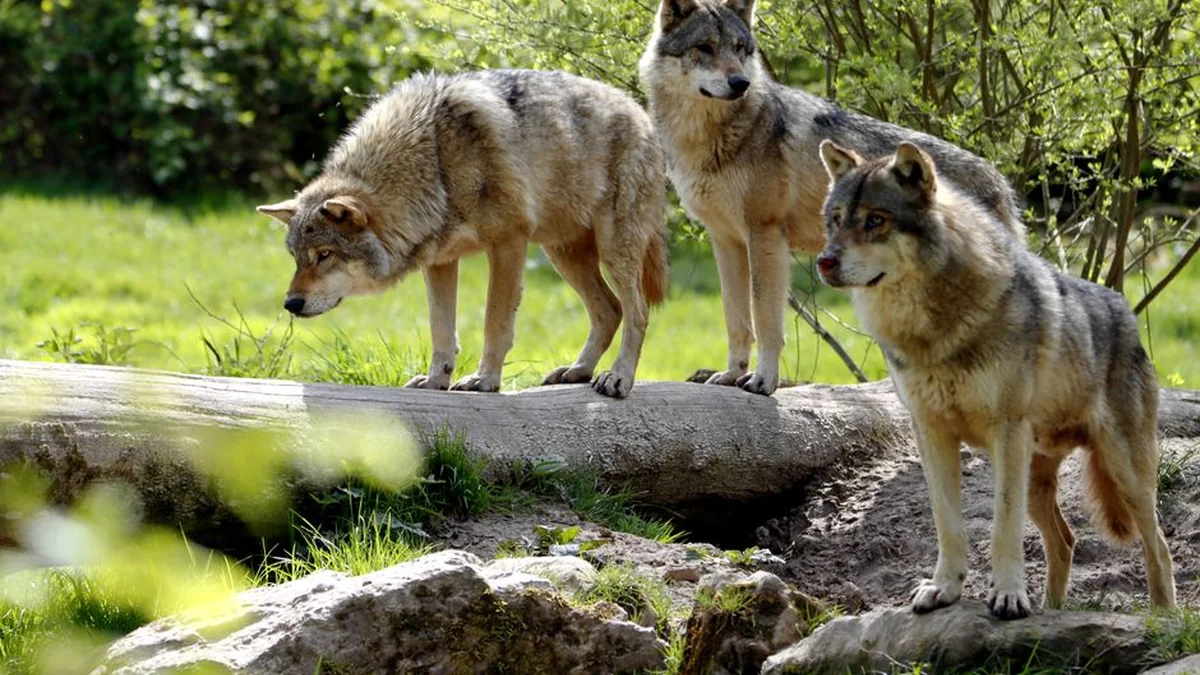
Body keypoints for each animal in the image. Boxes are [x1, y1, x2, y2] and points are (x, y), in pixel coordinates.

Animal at [256, 70, 668, 399]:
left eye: (324, 255)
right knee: (609, 310)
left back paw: (617, 378)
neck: (434, 161)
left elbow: (494, 322)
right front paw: (435, 381)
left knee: (637, 312)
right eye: (297, 258)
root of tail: (640, 110)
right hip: (563, 255)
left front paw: (485, 380)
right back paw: (578, 371)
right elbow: (442, 331)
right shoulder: (440, 260)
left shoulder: (508, 244)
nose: (290, 304)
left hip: (611, 250)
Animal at [640, 0, 1023, 395]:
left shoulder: (765, 235)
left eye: (740, 48)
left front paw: (763, 379)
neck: (707, 141)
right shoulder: (725, 241)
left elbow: (765, 319)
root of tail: (1000, 182)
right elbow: (736, 320)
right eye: (705, 47)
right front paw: (732, 374)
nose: (740, 83)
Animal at [815, 139, 1176, 619]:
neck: (934, 331)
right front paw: (944, 589)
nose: (824, 262)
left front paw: (1008, 596)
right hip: (1038, 478)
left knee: (1159, 546)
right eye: (836, 221)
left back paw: (1163, 615)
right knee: (1065, 541)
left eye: (876, 220)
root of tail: (1126, 311)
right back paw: (1053, 610)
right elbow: (947, 523)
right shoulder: (931, 433)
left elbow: (1003, 527)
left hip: (1124, 473)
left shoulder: (1006, 432)